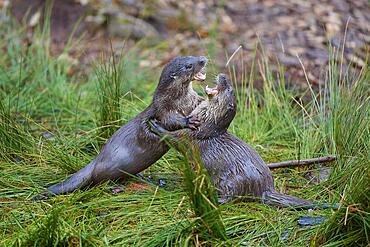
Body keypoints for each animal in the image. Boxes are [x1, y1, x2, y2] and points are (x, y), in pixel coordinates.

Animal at [35, 56, 208, 199]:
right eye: (188, 65)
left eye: (192, 56)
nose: (203, 59)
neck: (180, 99)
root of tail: (96, 160)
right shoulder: (164, 109)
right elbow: (170, 120)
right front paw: (188, 121)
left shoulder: (192, 100)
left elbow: (200, 101)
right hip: (110, 168)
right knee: (98, 181)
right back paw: (116, 186)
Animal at [152, 74, 322, 208]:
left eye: (229, 89)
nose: (223, 76)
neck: (206, 122)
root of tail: (265, 189)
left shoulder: (191, 135)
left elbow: (173, 139)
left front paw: (154, 125)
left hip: (234, 181)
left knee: (234, 197)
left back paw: (215, 199)